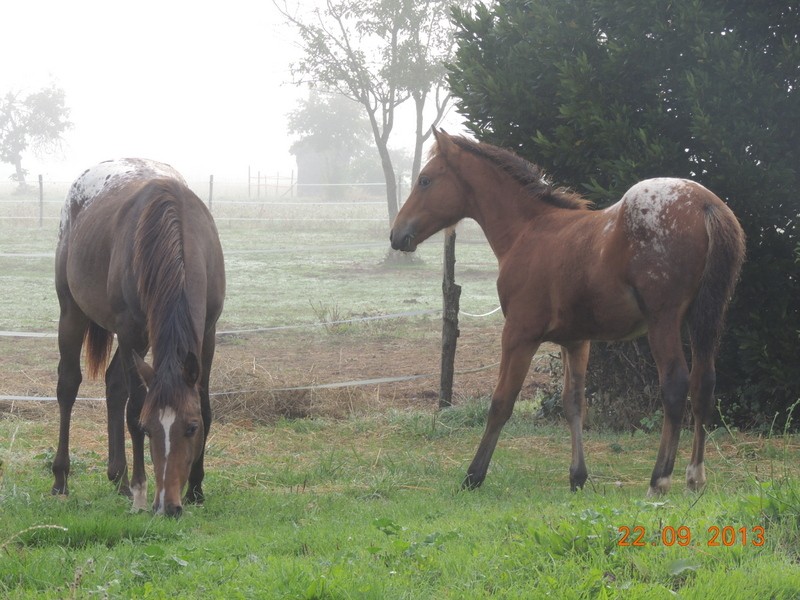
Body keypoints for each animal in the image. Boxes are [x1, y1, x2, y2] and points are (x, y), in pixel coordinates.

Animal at [52, 159, 225, 516]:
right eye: (150, 429)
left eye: (191, 428)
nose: (169, 506)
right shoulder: (130, 329)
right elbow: (134, 410)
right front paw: (142, 490)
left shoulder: (208, 332)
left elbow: (204, 405)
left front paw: (197, 489)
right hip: (73, 311)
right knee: (68, 385)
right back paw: (61, 479)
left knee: (114, 384)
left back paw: (117, 479)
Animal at [390, 129, 748, 494]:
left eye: (425, 180)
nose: (397, 235)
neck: (529, 230)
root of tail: (705, 204)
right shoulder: (577, 341)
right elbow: (574, 402)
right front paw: (577, 476)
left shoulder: (519, 333)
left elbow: (501, 402)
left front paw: (473, 475)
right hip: (705, 319)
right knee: (704, 383)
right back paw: (695, 476)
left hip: (664, 320)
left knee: (675, 385)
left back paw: (659, 479)